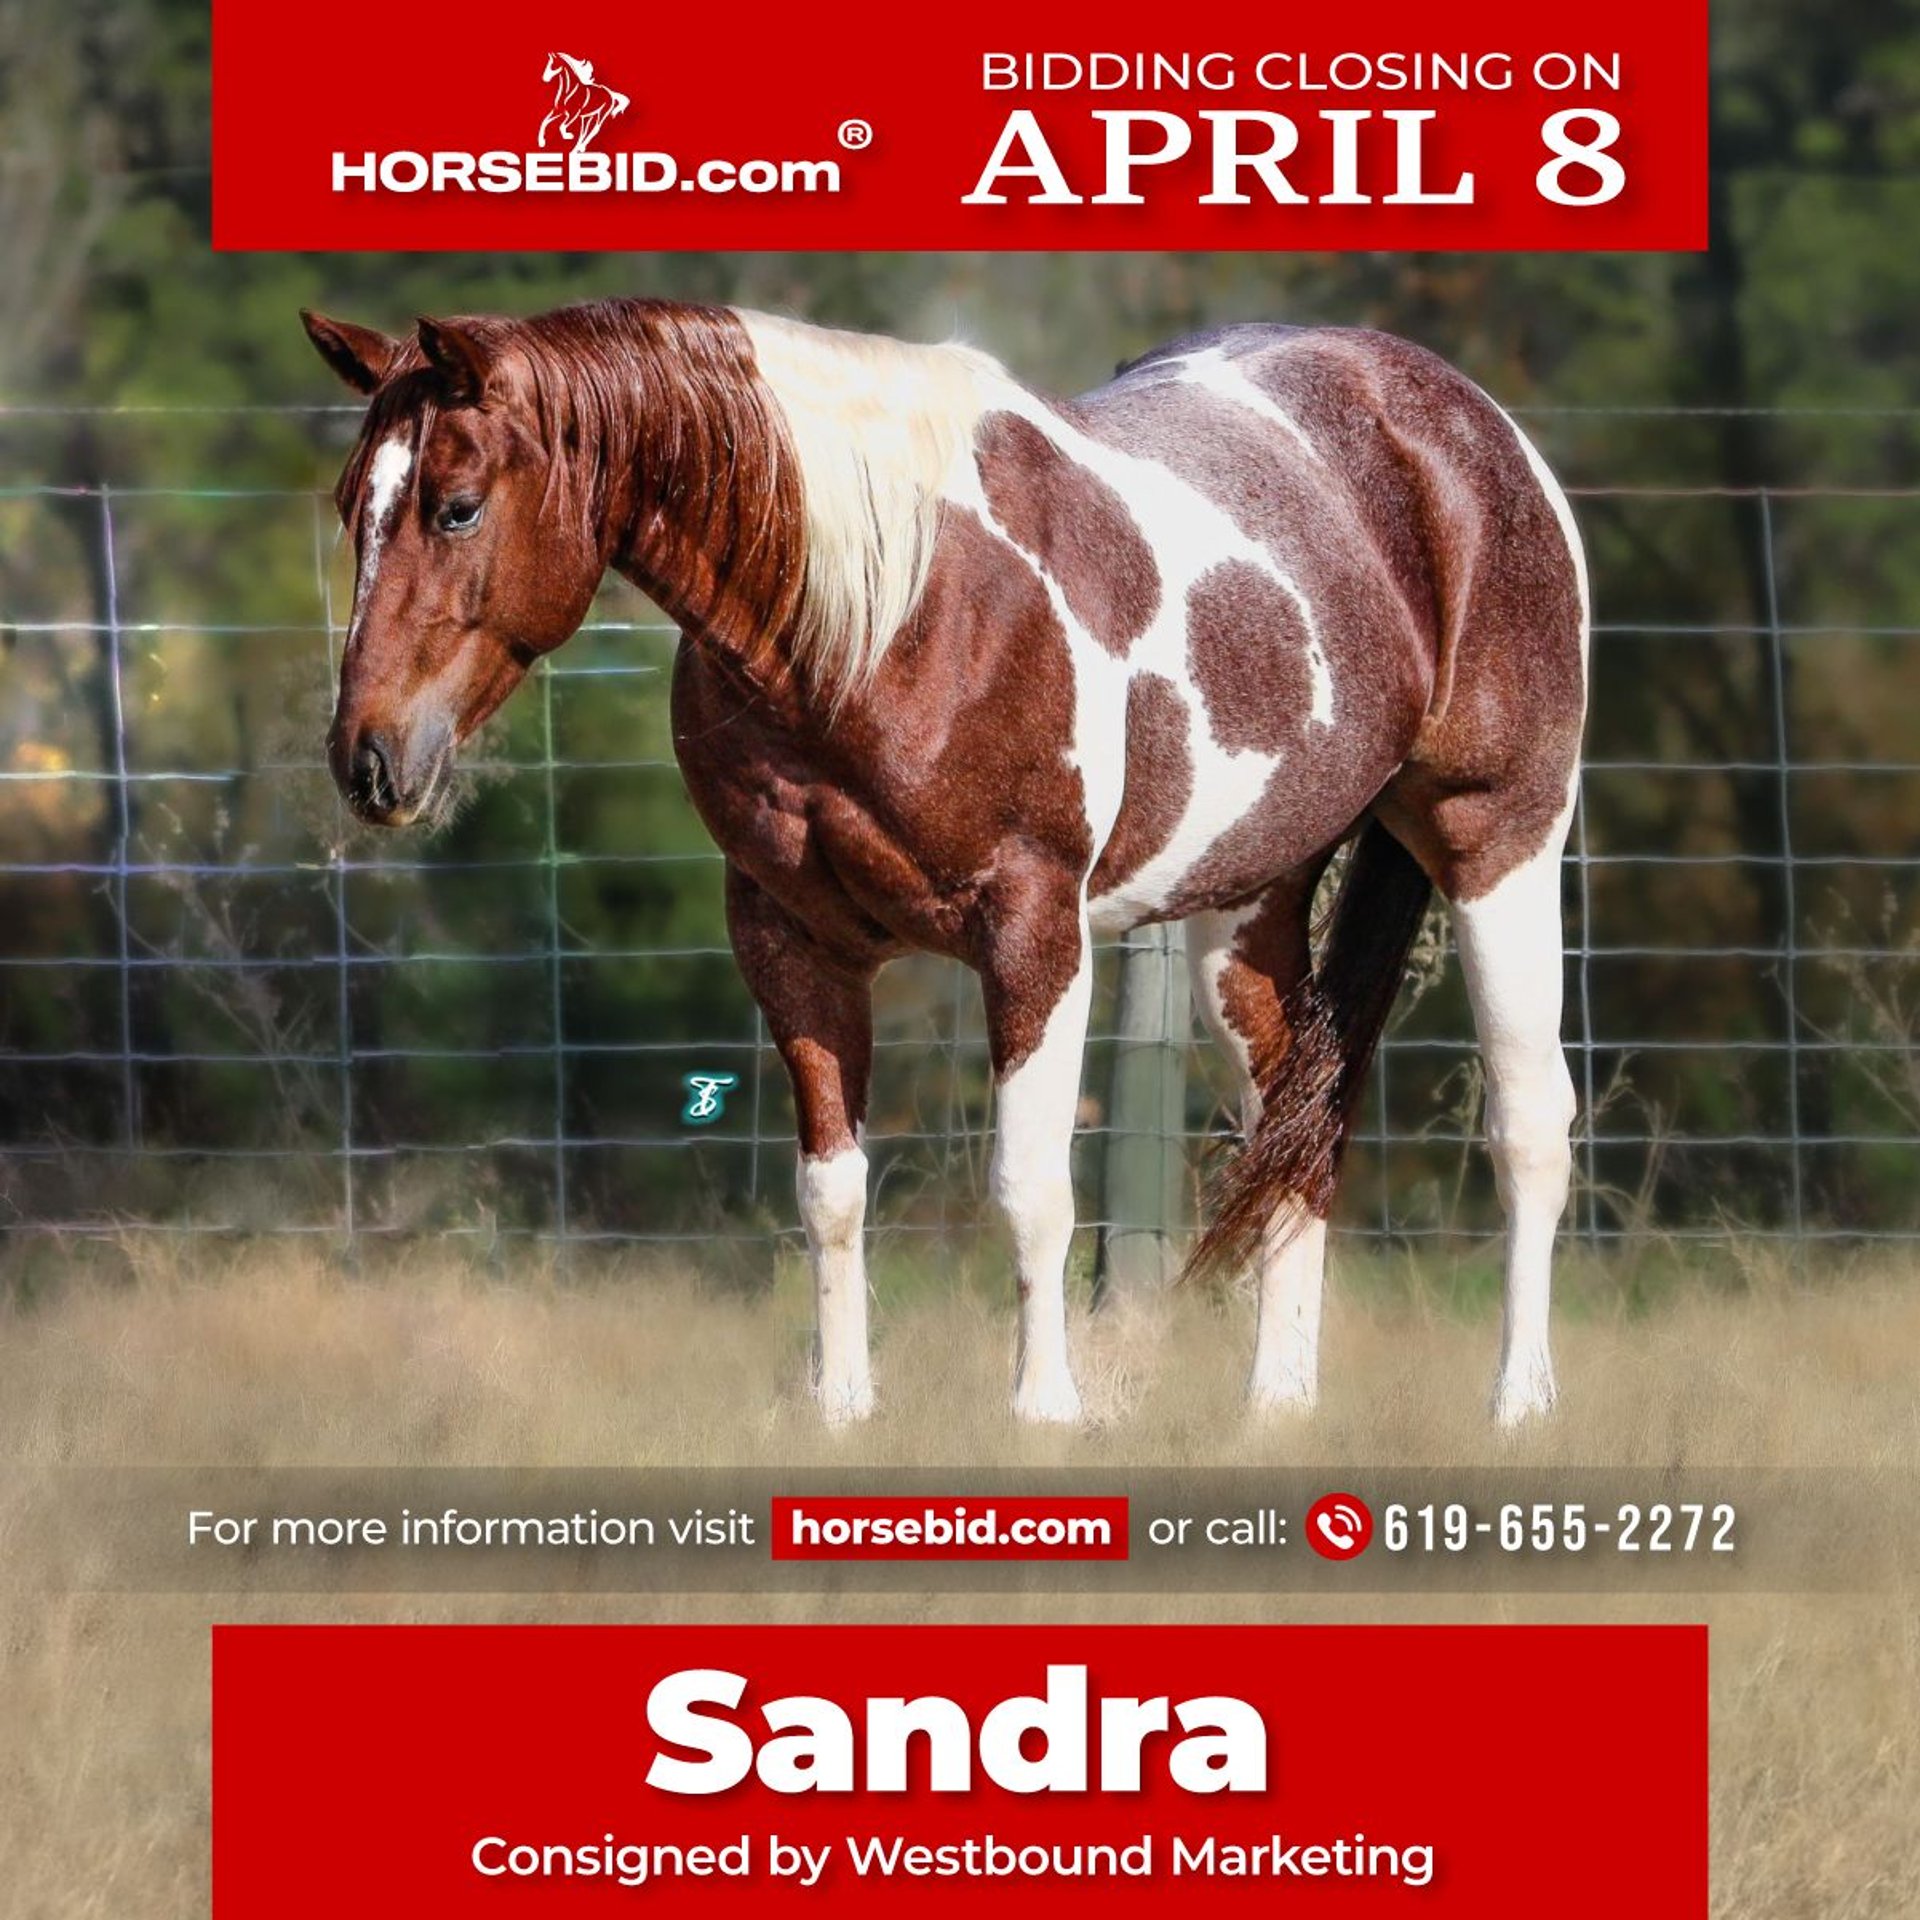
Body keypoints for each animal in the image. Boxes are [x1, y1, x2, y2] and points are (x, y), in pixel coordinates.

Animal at [298, 298, 1587, 1429]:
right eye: (351, 507)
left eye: (457, 508)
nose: (369, 759)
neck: (891, 617)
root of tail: (1474, 429)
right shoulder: (791, 940)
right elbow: (831, 1191)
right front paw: (843, 1409)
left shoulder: (1034, 930)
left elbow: (1030, 1189)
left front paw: (1045, 1411)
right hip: (1248, 901)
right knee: (1300, 1113)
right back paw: (1277, 1406)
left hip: (1501, 841)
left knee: (1528, 1122)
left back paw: (1520, 1403)